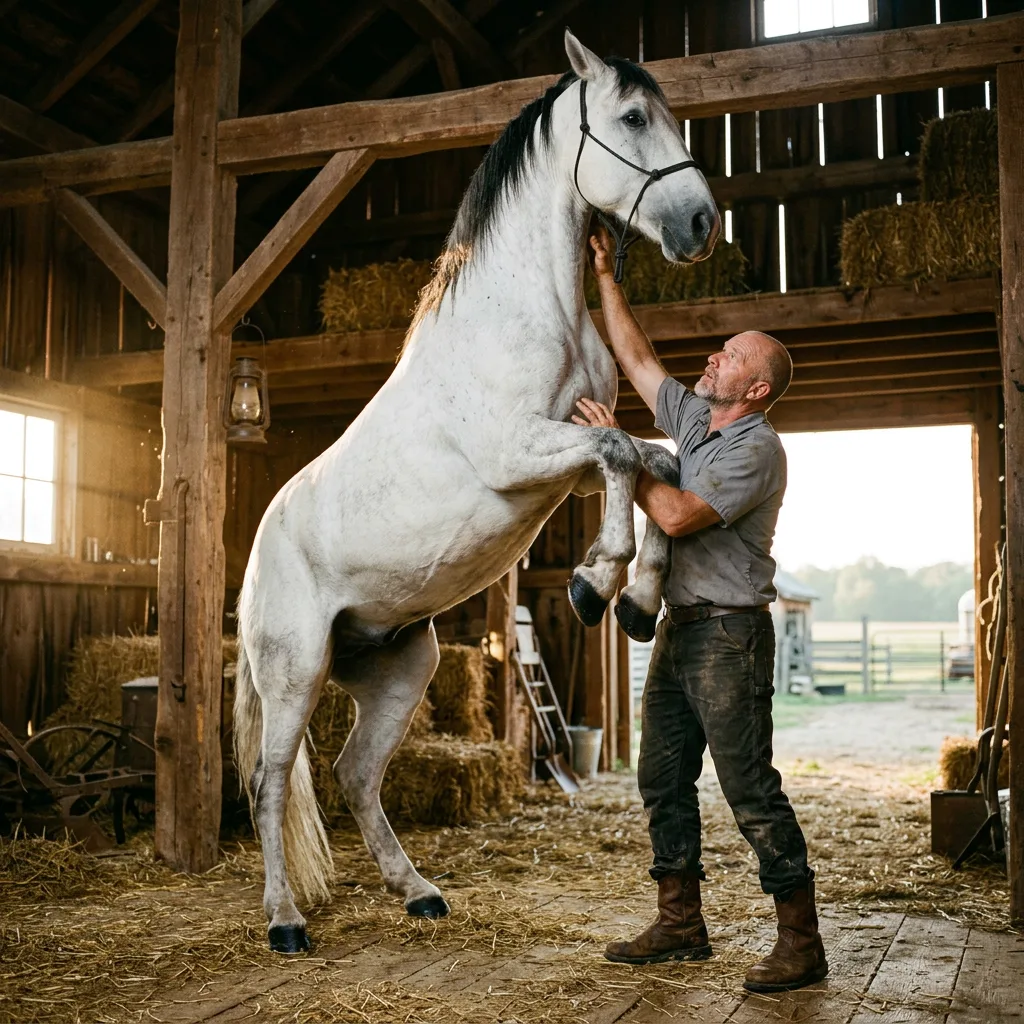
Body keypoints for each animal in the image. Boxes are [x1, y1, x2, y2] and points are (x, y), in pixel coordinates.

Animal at [234, 30, 720, 953]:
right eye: (633, 117)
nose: (702, 223)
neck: (527, 310)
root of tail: (253, 550)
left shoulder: (565, 453)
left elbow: (656, 465)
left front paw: (637, 598)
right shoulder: (519, 451)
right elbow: (625, 457)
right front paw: (594, 582)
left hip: (401, 666)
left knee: (354, 774)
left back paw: (418, 891)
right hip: (294, 671)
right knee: (274, 780)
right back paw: (283, 921)